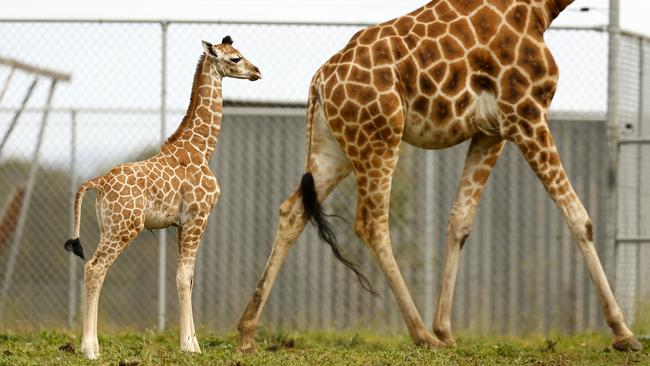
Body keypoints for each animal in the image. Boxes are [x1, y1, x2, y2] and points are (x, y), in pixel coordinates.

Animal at [64, 37, 260, 360]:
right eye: (235, 58)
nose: (257, 71)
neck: (201, 149)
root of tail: (99, 183)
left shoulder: (181, 224)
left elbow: (188, 278)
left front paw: (193, 343)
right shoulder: (197, 218)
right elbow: (184, 277)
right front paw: (189, 346)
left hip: (108, 226)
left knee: (94, 267)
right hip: (124, 228)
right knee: (94, 268)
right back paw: (90, 349)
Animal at [235, 0, 640, 354]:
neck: (540, 9)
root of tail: (319, 82)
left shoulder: (492, 131)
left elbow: (459, 221)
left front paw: (445, 329)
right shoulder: (525, 113)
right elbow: (579, 218)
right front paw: (623, 333)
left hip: (332, 150)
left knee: (292, 211)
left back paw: (247, 333)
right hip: (379, 138)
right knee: (370, 222)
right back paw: (421, 335)